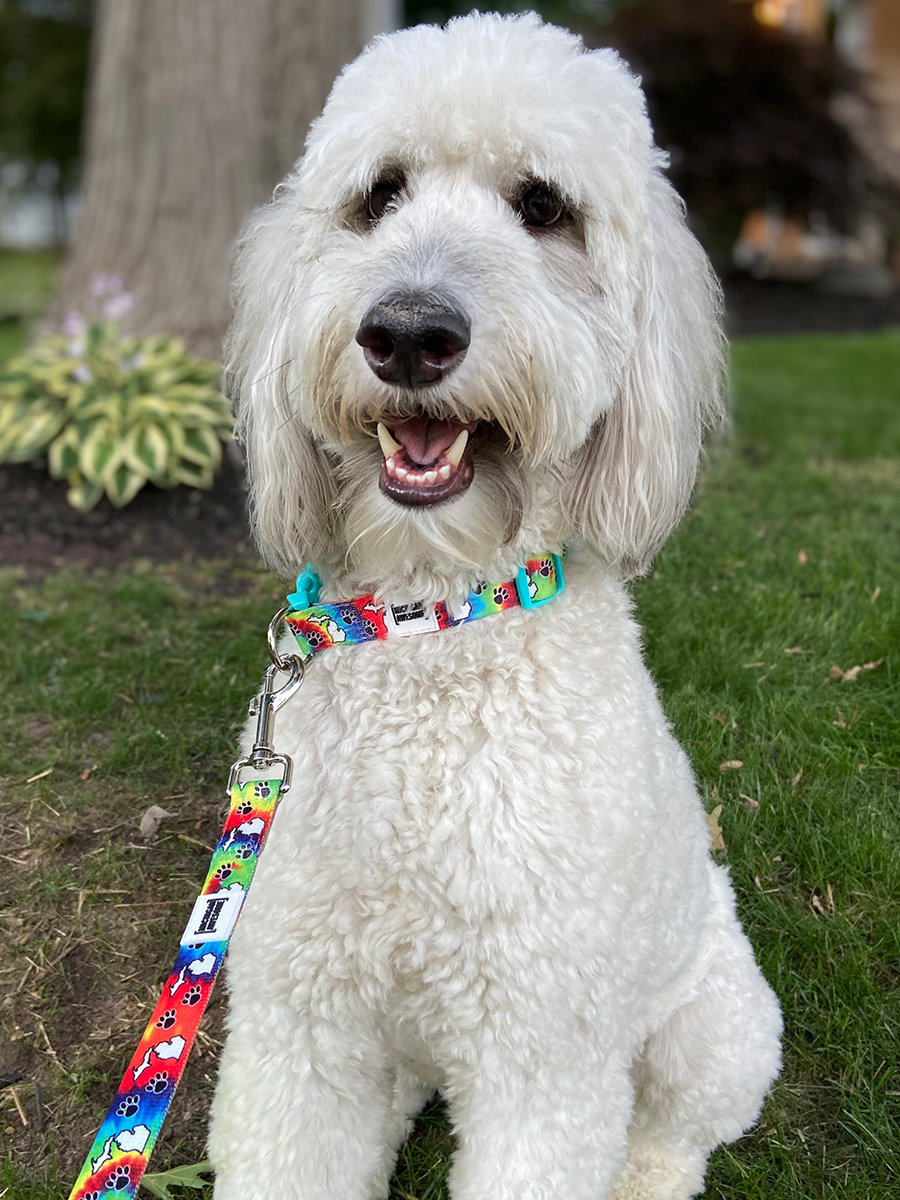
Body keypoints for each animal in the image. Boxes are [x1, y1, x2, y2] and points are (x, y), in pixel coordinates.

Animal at [206, 11, 782, 1200]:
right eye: (379, 194)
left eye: (544, 206)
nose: (407, 332)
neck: (435, 624)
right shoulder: (299, 1025)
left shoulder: (543, 1055)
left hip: (715, 1024)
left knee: (674, 1136)